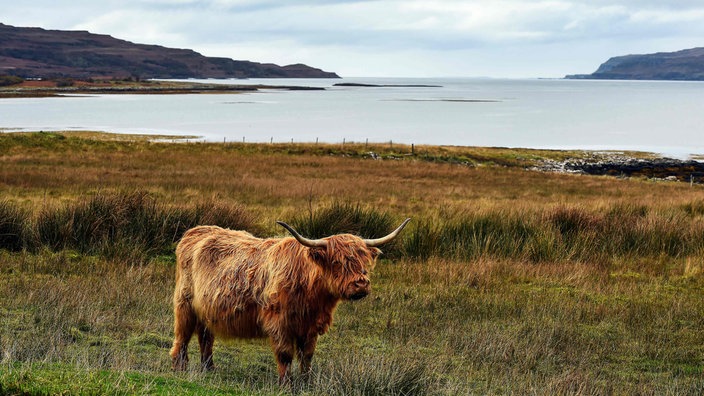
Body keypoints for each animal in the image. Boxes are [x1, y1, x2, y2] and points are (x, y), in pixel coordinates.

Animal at [168, 218, 410, 382]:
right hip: (185, 305)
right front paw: (286, 384)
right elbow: (285, 355)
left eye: (363, 261)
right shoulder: (279, 323)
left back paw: (209, 368)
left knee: (205, 338)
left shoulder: (310, 326)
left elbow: (307, 355)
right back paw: (179, 368)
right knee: (182, 337)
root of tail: (196, 231)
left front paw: (306, 381)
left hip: (206, 310)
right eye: (337, 262)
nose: (360, 284)